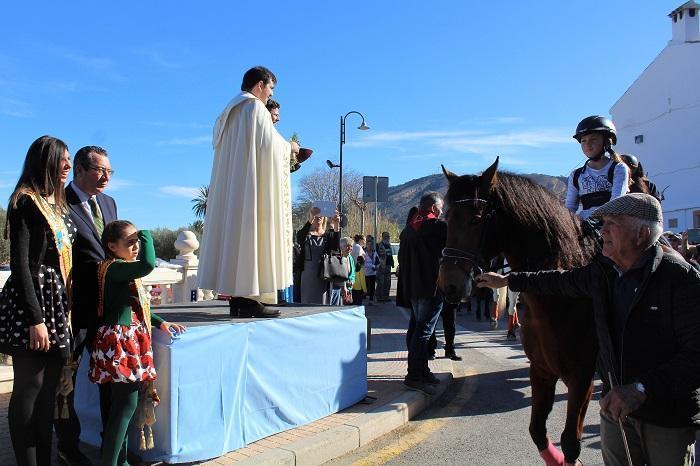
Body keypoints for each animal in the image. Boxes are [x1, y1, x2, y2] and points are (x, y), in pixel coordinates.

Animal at [438, 158, 596, 464]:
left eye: (476, 220)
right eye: (447, 219)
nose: (448, 285)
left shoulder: (582, 377)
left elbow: (570, 442)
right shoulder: (542, 370)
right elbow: (537, 431)